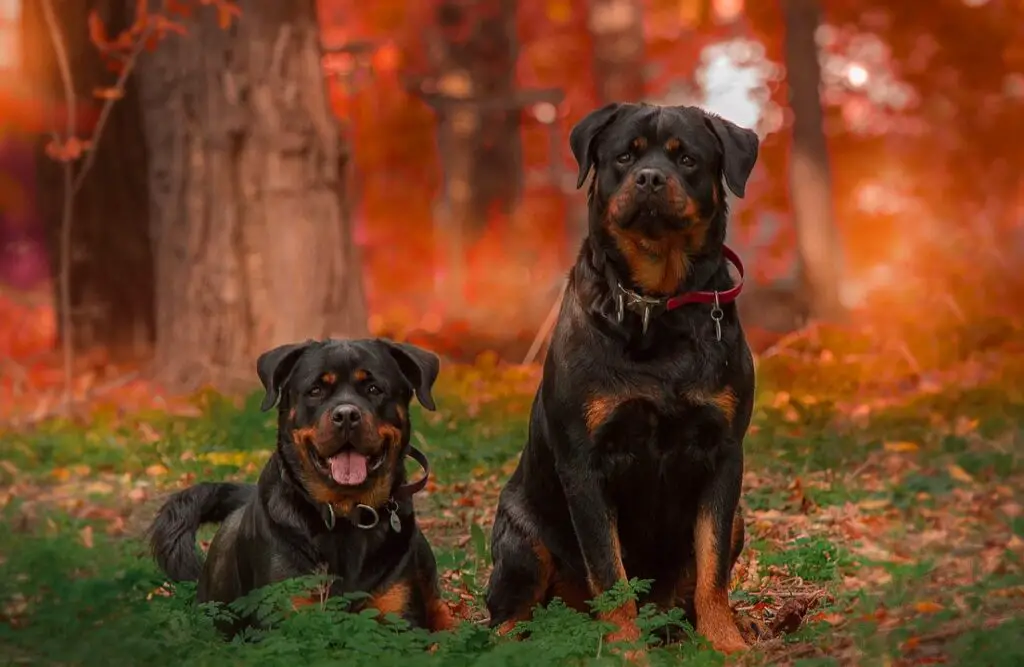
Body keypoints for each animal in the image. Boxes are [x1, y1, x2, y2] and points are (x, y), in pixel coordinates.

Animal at [148, 336, 452, 635]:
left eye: (374, 388)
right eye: (315, 390)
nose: (346, 415)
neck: (345, 515)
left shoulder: (400, 617)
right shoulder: (284, 611)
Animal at [487, 101, 761, 655]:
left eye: (687, 159)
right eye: (624, 156)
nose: (651, 177)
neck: (656, 305)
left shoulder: (724, 454)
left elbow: (713, 568)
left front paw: (724, 642)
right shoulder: (585, 464)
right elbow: (610, 574)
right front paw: (624, 650)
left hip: (741, 518)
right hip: (521, 534)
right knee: (509, 610)